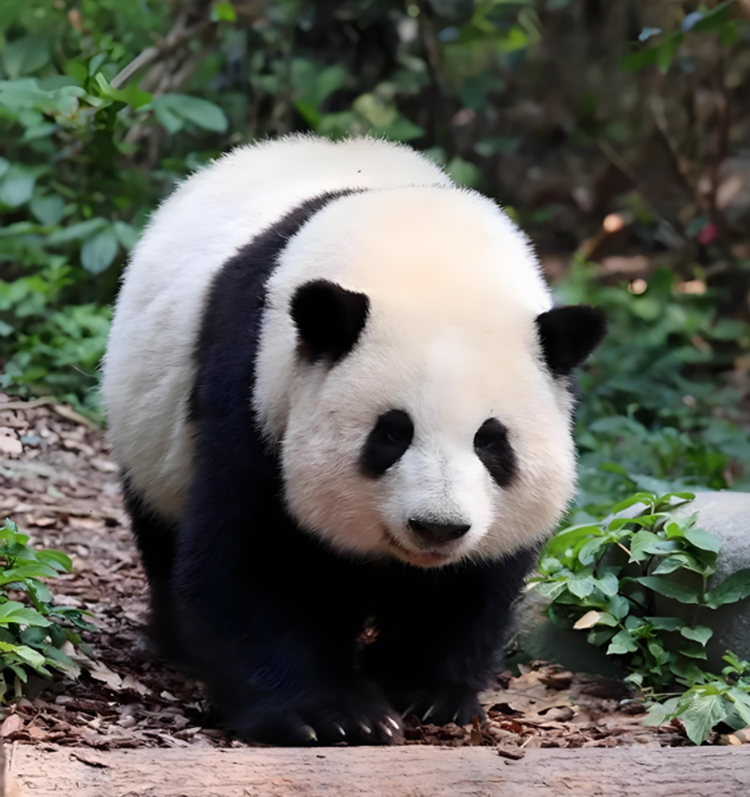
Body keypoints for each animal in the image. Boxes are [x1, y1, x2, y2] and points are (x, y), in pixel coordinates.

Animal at [102, 134, 606, 746]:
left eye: (492, 442)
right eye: (391, 433)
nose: (437, 527)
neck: (427, 254)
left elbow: (472, 583)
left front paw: (426, 694)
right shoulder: (254, 391)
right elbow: (253, 562)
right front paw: (335, 715)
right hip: (148, 429)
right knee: (163, 529)